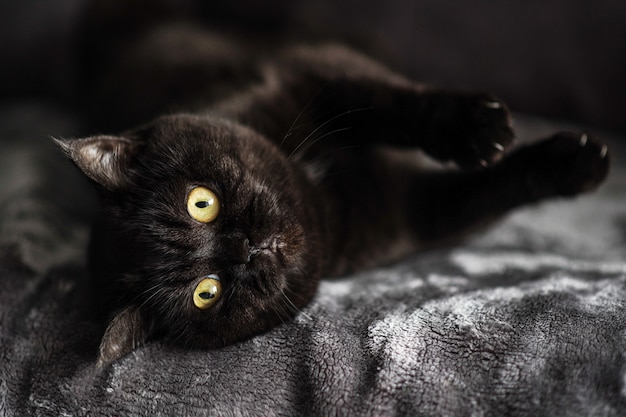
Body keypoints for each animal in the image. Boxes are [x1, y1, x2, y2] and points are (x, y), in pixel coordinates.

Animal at [56, 15, 608, 368]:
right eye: (205, 292)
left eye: (202, 203)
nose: (244, 248)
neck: (318, 192)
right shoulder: (416, 214)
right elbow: (493, 189)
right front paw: (574, 165)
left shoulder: (309, 72)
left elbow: (393, 104)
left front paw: (480, 130)